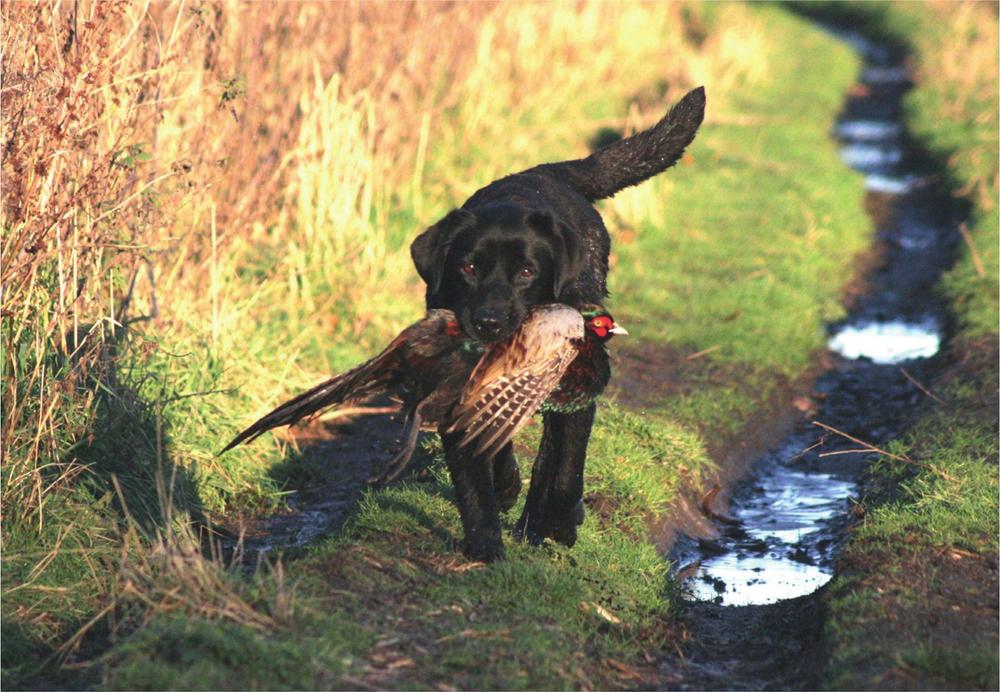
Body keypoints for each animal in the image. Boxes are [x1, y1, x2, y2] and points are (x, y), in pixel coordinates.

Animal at [406, 86, 704, 564]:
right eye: (468, 267)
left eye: (527, 271)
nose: (489, 322)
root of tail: (548, 171)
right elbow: (476, 472)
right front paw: (486, 541)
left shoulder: (579, 394)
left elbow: (566, 469)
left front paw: (558, 522)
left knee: (553, 456)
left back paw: (540, 520)